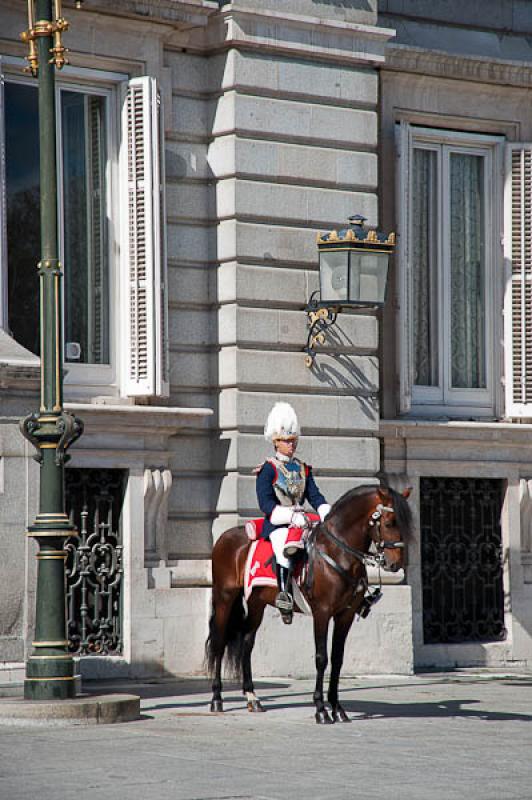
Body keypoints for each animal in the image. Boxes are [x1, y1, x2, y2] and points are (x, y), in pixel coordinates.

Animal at [204, 482, 412, 724]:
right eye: (389, 522)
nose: (395, 564)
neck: (338, 554)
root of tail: (226, 536)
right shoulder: (322, 612)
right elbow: (322, 658)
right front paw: (321, 709)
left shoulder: (345, 615)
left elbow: (338, 658)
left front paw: (337, 708)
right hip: (224, 598)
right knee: (219, 643)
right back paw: (216, 698)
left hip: (257, 604)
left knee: (246, 643)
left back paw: (252, 697)